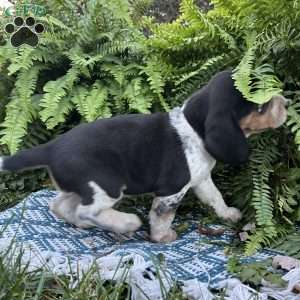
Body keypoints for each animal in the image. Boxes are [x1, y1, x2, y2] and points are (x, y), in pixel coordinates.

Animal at [0, 71, 288, 244]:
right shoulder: (172, 190)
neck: (193, 127)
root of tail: (52, 147)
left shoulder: (201, 179)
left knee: (60, 205)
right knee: (87, 210)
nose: (285, 101)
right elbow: (162, 216)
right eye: (261, 103)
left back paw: (81, 223)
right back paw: (124, 223)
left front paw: (228, 214)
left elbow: (215, 198)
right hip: (107, 186)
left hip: (83, 187)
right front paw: (162, 237)